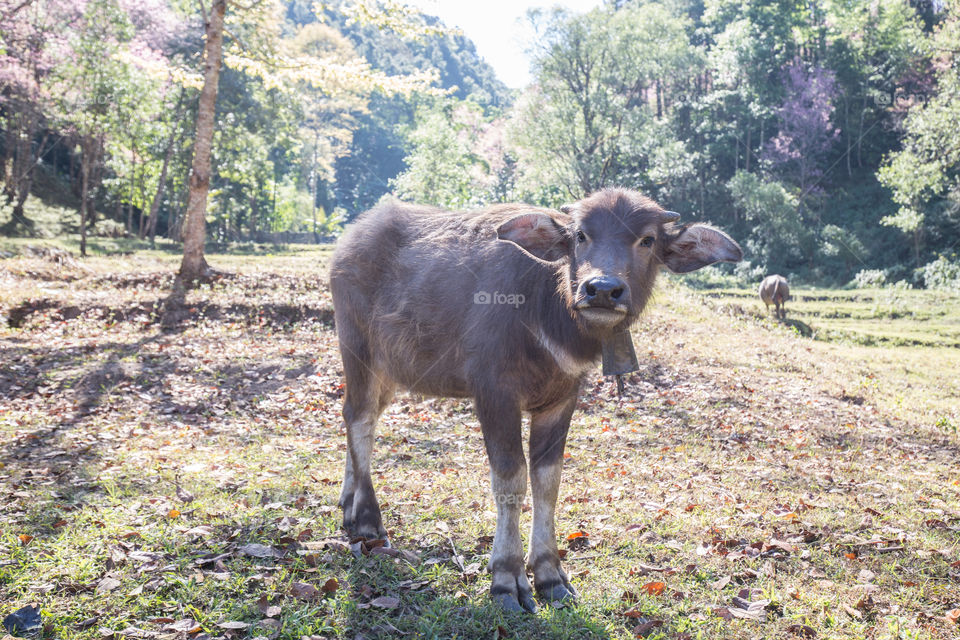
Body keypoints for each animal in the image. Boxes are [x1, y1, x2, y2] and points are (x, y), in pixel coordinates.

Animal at [330, 188, 744, 612]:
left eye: (646, 240)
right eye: (580, 235)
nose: (602, 289)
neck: (545, 311)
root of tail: (352, 239)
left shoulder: (562, 399)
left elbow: (548, 480)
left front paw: (549, 574)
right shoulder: (495, 393)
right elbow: (510, 478)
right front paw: (507, 578)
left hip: (390, 371)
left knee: (360, 419)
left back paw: (349, 501)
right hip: (358, 349)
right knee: (359, 417)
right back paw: (367, 518)